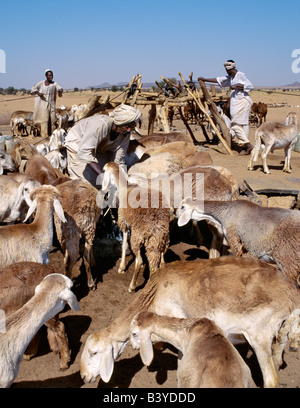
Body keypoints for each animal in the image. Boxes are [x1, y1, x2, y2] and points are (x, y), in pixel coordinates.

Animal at [79, 256, 300, 388]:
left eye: (93, 352)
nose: (83, 376)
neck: (155, 290)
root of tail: (292, 294)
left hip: (259, 337)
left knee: (271, 379)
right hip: (279, 338)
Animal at [102, 161, 170, 292]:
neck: (125, 187)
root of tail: (158, 223)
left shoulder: (124, 223)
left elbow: (124, 245)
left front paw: (122, 267)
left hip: (139, 236)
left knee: (139, 261)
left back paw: (132, 286)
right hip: (160, 239)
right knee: (161, 260)